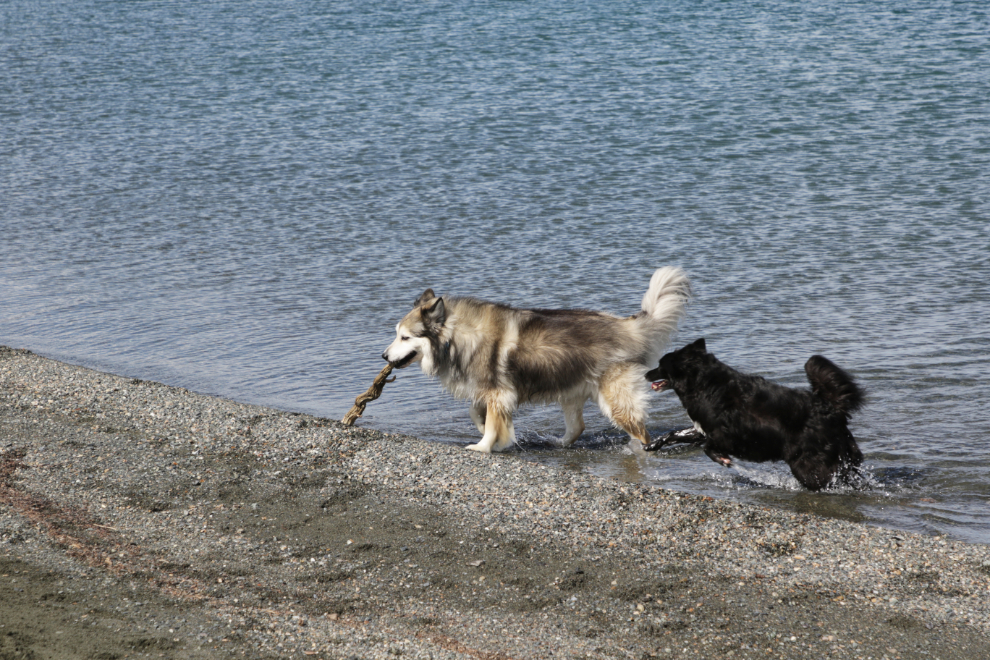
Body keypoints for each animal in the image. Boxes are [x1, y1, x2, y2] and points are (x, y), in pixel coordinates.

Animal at [384, 266, 692, 452]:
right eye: (397, 334)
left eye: (405, 337)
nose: (383, 355)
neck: (457, 336)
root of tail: (628, 326)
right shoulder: (491, 392)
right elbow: (478, 413)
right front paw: (495, 435)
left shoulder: (498, 393)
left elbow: (491, 424)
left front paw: (483, 446)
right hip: (571, 391)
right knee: (578, 427)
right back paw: (559, 443)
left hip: (615, 399)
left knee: (641, 433)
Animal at [648, 340, 864, 490]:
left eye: (660, 365)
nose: (645, 373)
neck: (703, 383)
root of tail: (830, 408)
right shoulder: (704, 429)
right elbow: (675, 434)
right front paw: (652, 445)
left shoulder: (726, 434)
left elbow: (707, 448)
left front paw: (724, 460)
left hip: (808, 464)